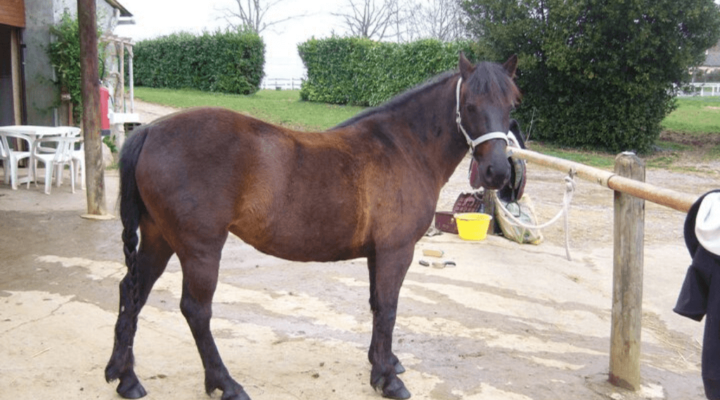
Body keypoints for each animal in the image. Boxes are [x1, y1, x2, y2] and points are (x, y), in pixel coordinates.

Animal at [105, 53, 520, 400]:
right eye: (470, 105)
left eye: (511, 104)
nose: (497, 172)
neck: (405, 146)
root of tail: (150, 131)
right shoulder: (396, 251)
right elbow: (388, 309)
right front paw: (388, 379)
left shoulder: (377, 254)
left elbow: (376, 306)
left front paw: (381, 363)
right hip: (200, 248)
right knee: (196, 310)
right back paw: (225, 384)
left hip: (159, 239)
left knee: (132, 293)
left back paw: (125, 378)